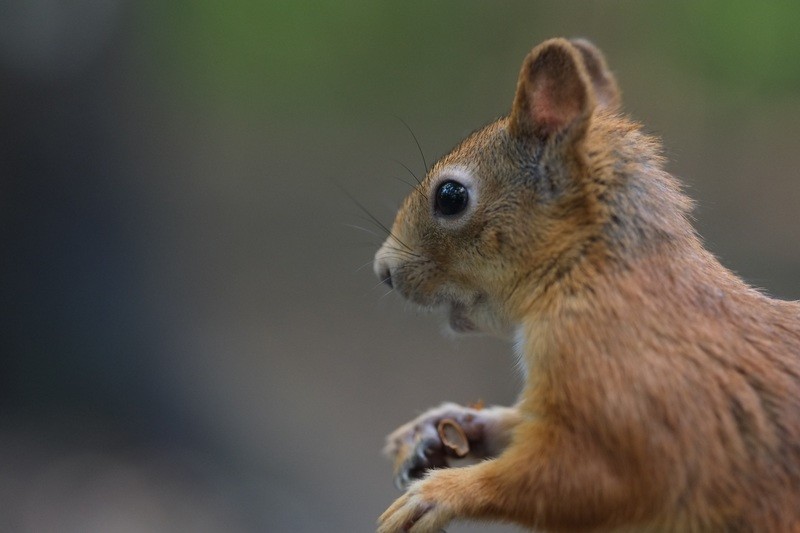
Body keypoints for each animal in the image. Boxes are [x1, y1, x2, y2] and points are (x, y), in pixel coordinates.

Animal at [372, 38, 800, 532]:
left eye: (450, 197)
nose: (383, 270)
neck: (589, 273)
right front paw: (445, 423)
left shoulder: (620, 394)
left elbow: (587, 481)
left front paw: (439, 493)